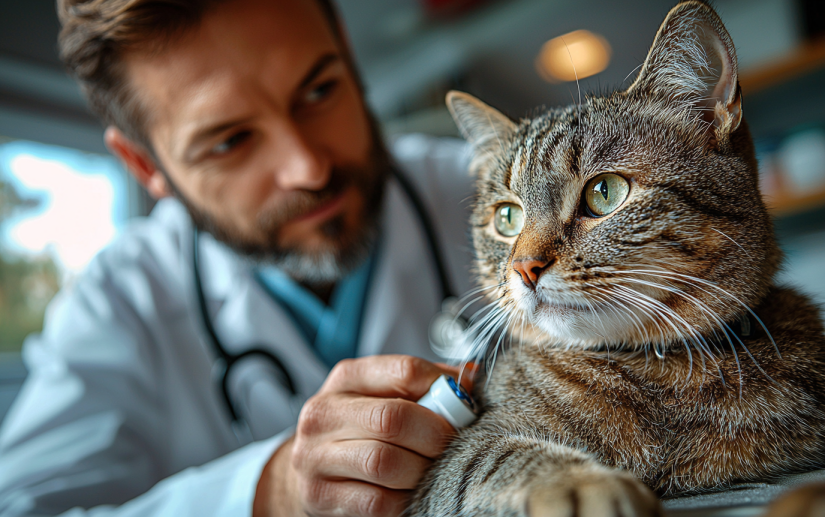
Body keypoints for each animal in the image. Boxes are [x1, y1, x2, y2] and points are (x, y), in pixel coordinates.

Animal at [408, 2, 824, 512]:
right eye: (507, 217)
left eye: (604, 193)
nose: (524, 267)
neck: (657, 370)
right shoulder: (449, 462)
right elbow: (495, 460)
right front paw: (582, 484)